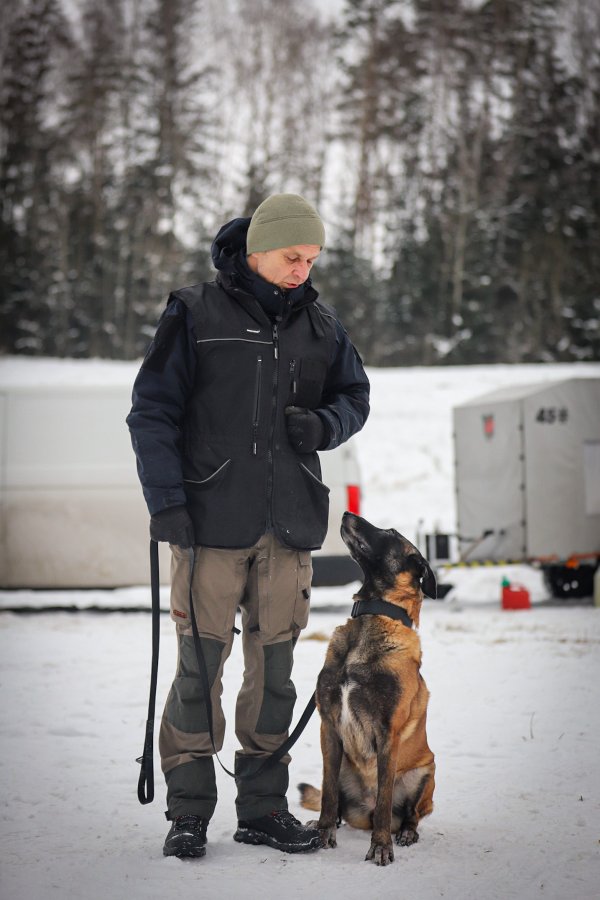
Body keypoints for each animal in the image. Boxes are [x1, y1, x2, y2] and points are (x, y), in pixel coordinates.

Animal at [298, 512, 436, 866]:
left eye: (390, 531)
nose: (347, 514)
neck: (373, 617)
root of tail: (364, 814)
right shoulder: (329, 726)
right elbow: (327, 795)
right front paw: (323, 832)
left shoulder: (388, 734)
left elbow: (386, 799)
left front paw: (381, 846)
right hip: (341, 765)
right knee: (334, 799)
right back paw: (324, 823)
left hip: (426, 770)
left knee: (411, 814)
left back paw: (405, 833)